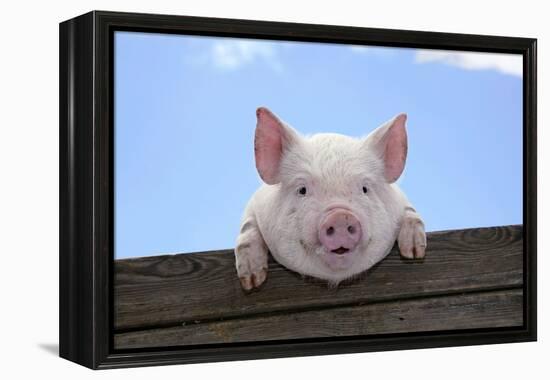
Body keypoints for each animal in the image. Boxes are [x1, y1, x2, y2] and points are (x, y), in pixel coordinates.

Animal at [235, 107, 430, 290]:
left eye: (365, 189)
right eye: (302, 190)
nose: (341, 216)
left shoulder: (401, 199)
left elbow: (411, 212)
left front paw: (413, 253)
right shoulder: (255, 204)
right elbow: (247, 228)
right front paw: (252, 281)